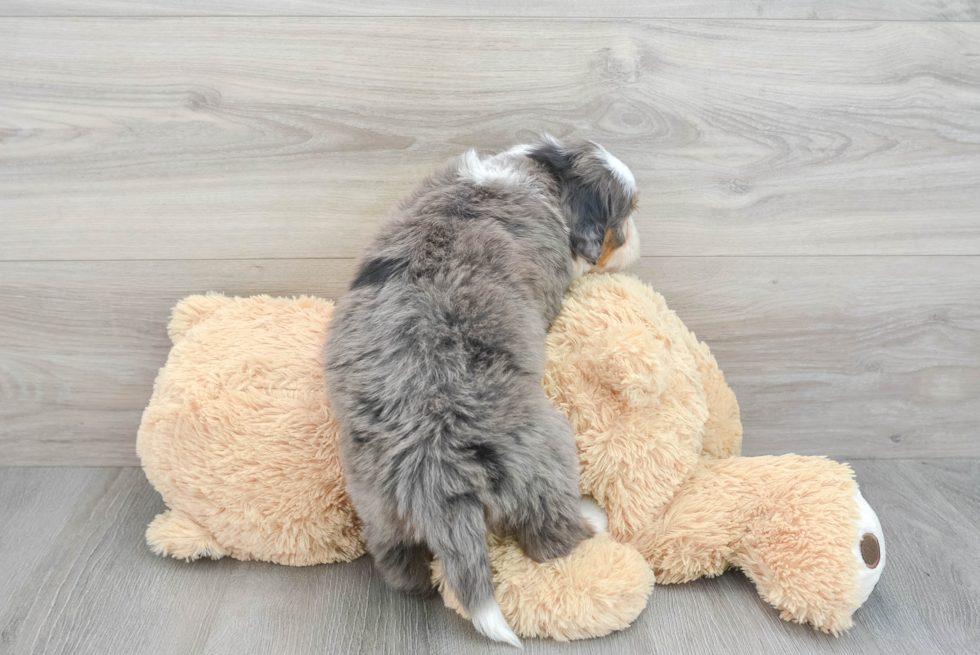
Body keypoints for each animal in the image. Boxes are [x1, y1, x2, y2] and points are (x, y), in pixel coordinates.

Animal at [326, 137, 640, 644]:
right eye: (626, 216)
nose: (636, 239)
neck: (542, 174)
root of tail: (432, 468)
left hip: (376, 504)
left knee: (397, 562)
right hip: (549, 447)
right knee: (549, 534)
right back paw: (591, 521)